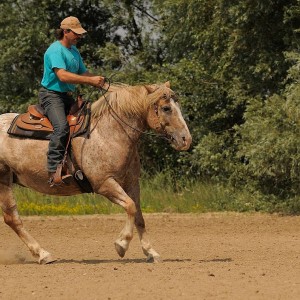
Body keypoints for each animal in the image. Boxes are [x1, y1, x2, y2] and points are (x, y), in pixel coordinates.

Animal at [0, 81, 192, 264]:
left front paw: (151, 252)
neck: (109, 131)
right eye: (166, 108)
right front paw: (121, 244)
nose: (186, 139)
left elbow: (138, 215)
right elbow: (130, 206)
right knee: (12, 218)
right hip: (3, 180)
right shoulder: (104, 184)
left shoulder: (131, 183)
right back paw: (43, 254)